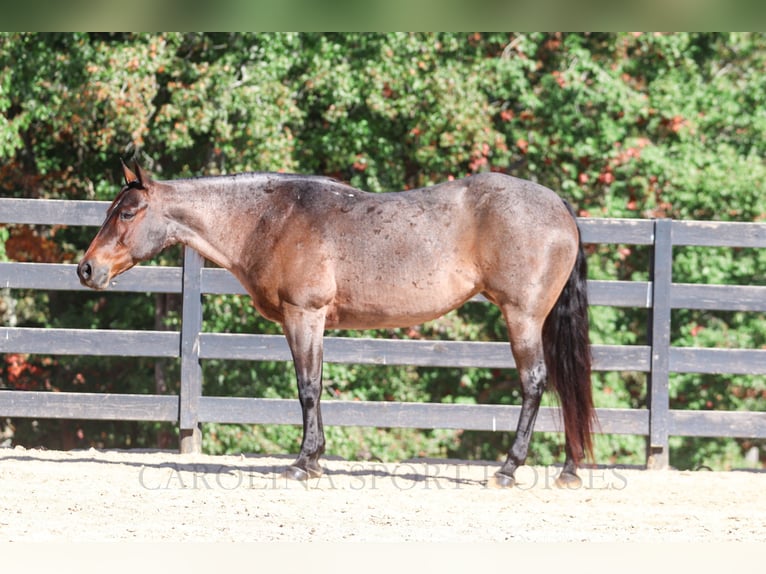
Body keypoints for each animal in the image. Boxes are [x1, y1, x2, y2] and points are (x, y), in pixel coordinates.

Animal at [78, 162, 596, 490]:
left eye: (127, 212)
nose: (86, 269)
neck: (269, 219)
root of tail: (558, 205)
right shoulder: (315, 321)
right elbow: (318, 385)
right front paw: (316, 459)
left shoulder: (302, 314)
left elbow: (306, 387)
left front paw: (302, 463)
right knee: (564, 384)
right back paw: (569, 469)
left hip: (522, 317)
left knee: (536, 383)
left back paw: (508, 469)